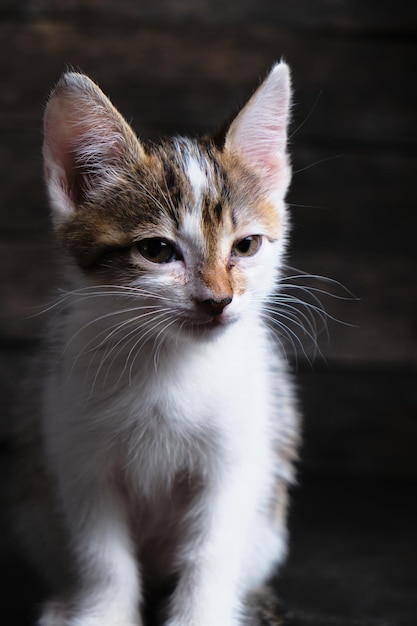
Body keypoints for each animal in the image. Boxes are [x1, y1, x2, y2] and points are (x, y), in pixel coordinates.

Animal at [13, 63, 300, 624]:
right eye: (158, 251)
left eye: (246, 246)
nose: (218, 300)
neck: (170, 361)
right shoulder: (78, 453)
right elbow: (102, 552)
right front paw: (102, 612)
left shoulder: (239, 454)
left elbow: (212, 548)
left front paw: (202, 614)